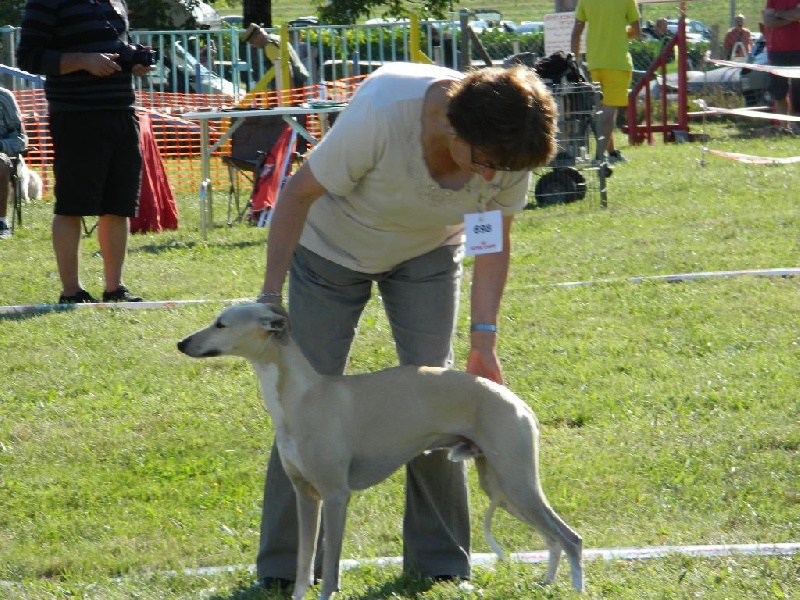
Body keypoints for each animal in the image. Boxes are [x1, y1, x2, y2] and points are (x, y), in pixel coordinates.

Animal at [178, 304, 584, 599]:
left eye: (221, 324)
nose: (182, 344)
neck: (303, 396)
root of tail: (518, 402)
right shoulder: (305, 495)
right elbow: (304, 564)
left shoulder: (335, 495)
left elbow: (330, 567)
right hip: (503, 485)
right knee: (553, 539)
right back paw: (547, 584)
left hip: (517, 483)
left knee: (570, 538)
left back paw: (576, 588)